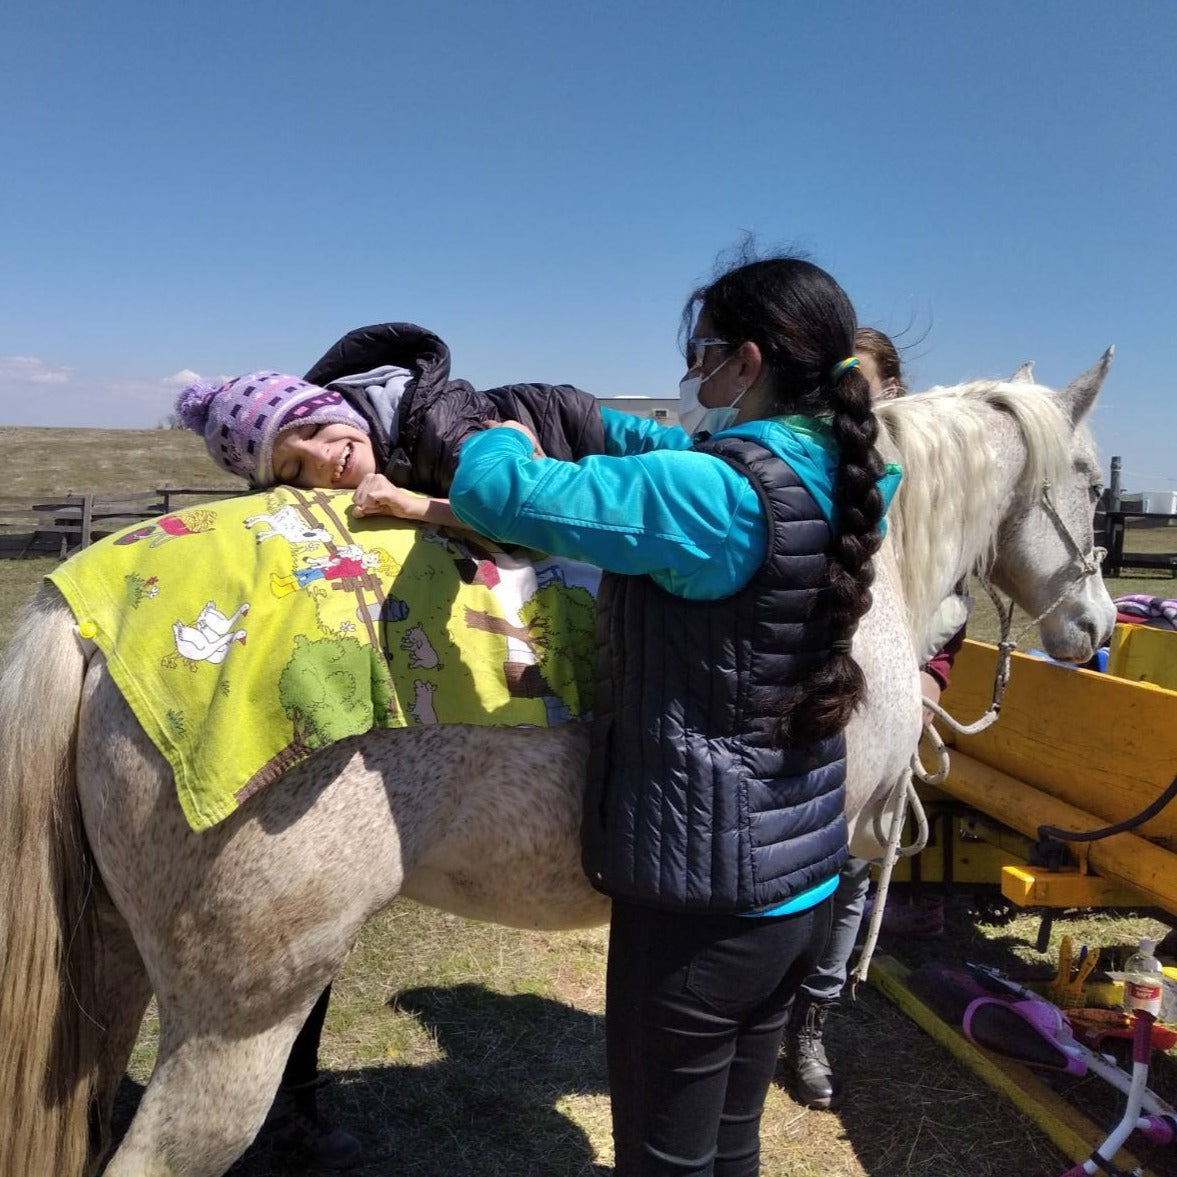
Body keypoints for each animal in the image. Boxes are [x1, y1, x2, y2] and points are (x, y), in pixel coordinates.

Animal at [0, 359, 1116, 1177]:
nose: (1097, 628)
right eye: (1095, 482)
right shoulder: (818, 863)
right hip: (236, 1023)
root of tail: (92, 613)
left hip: (112, 970)